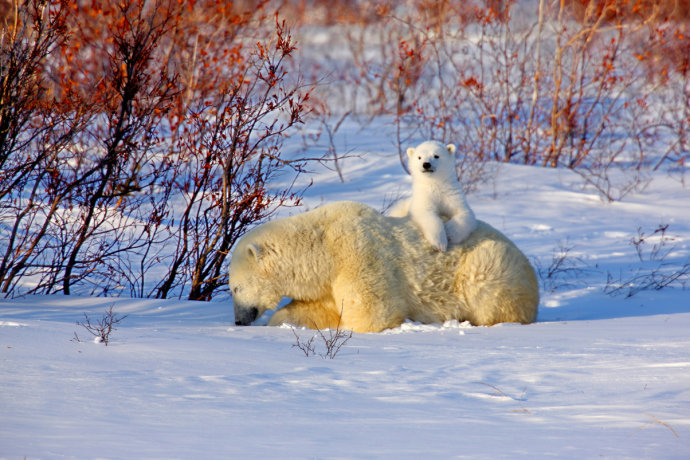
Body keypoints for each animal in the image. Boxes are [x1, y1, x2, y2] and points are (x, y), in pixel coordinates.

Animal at [228, 200, 536, 330]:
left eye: (234, 288)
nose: (238, 320)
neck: (322, 247)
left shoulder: (358, 255)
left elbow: (374, 312)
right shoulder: (327, 282)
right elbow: (316, 309)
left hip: (492, 263)